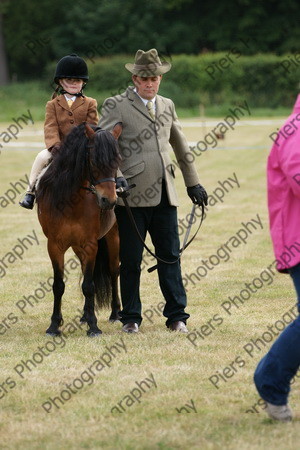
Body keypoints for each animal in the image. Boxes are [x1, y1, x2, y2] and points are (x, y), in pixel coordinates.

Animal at [36, 123, 122, 338]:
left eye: (117, 161)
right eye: (94, 161)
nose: (109, 201)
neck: (71, 199)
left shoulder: (90, 245)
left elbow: (89, 286)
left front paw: (94, 326)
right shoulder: (55, 246)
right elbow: (58, 285)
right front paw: (54, 326)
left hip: (113, 237)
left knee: (113, 271)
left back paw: (115, 313)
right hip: (77, 247)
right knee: (85, 270)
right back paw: (84, 315)